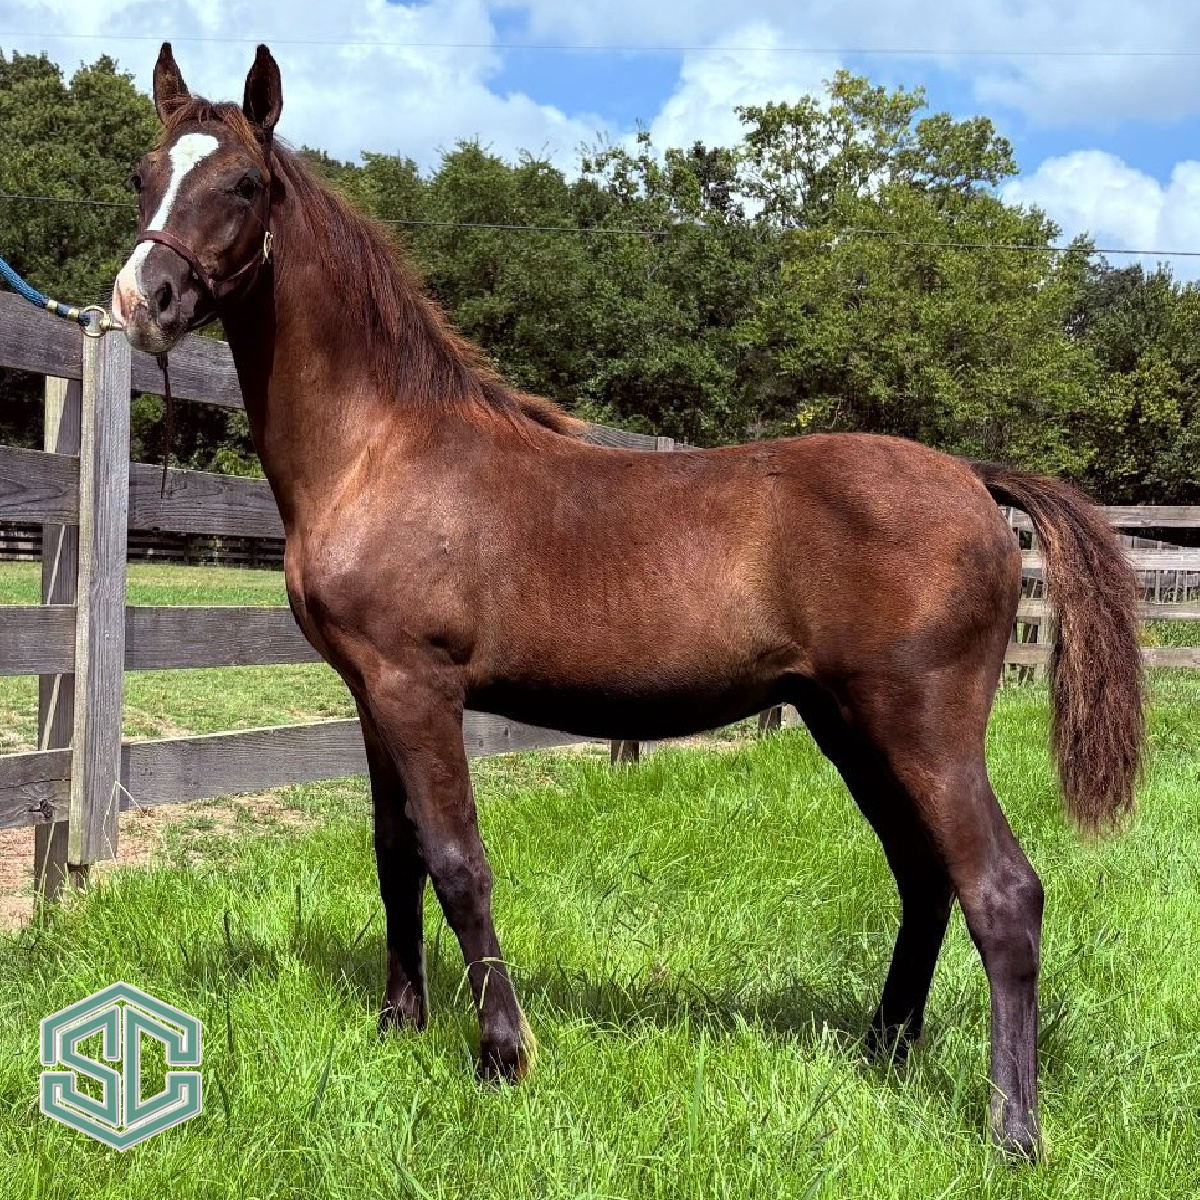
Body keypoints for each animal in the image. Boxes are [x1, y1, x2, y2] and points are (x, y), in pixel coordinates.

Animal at [111, 43, 1144, 1159]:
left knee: (1001, 892)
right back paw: (884, 1050)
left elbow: (458, 861)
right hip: (847, 722)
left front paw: (503, 1056)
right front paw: (399, 1025)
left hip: (923, 725)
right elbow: (397, 855)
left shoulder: (419, 689)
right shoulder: (370, 694)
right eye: (144, 170)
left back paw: (1012, 1128)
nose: (142, 298)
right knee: (923, 876)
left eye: (243, 183)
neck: (383, 450)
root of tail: (972, 479)